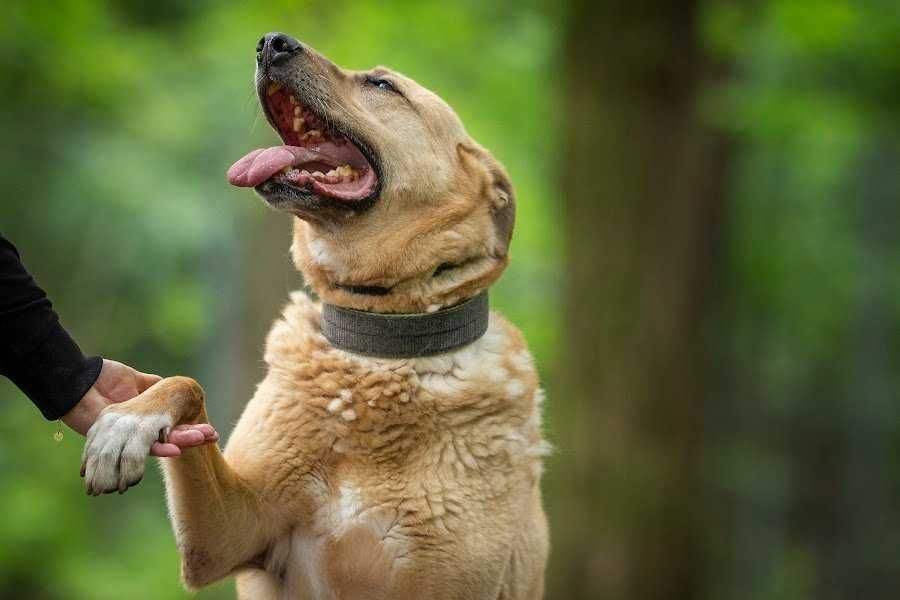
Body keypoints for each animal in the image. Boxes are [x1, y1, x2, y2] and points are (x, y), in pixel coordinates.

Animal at [82, 34, 548, 600]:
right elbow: (187, 383)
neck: (381, 349)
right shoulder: (228, 539)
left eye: (382, 84)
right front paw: (128, 422)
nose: (270, 42)